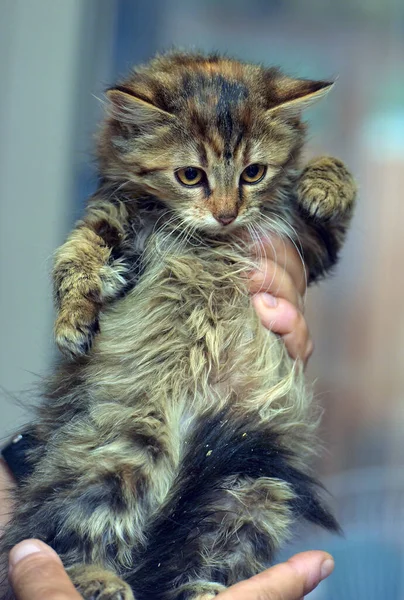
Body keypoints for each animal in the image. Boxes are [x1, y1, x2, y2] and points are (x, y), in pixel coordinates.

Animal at [0, 51, 356, 600]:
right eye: (191, 175)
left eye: (254, 172)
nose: (227, 214)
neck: (211, 238)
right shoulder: (112, 209)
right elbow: (76, 255)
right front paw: (73, 321)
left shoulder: (306, 248)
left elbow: (331, 188)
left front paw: (325, 184)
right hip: (120, 455)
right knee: (61, 535)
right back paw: (99, 580)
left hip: (255, 487)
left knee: (196, 562)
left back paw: (202, 588)